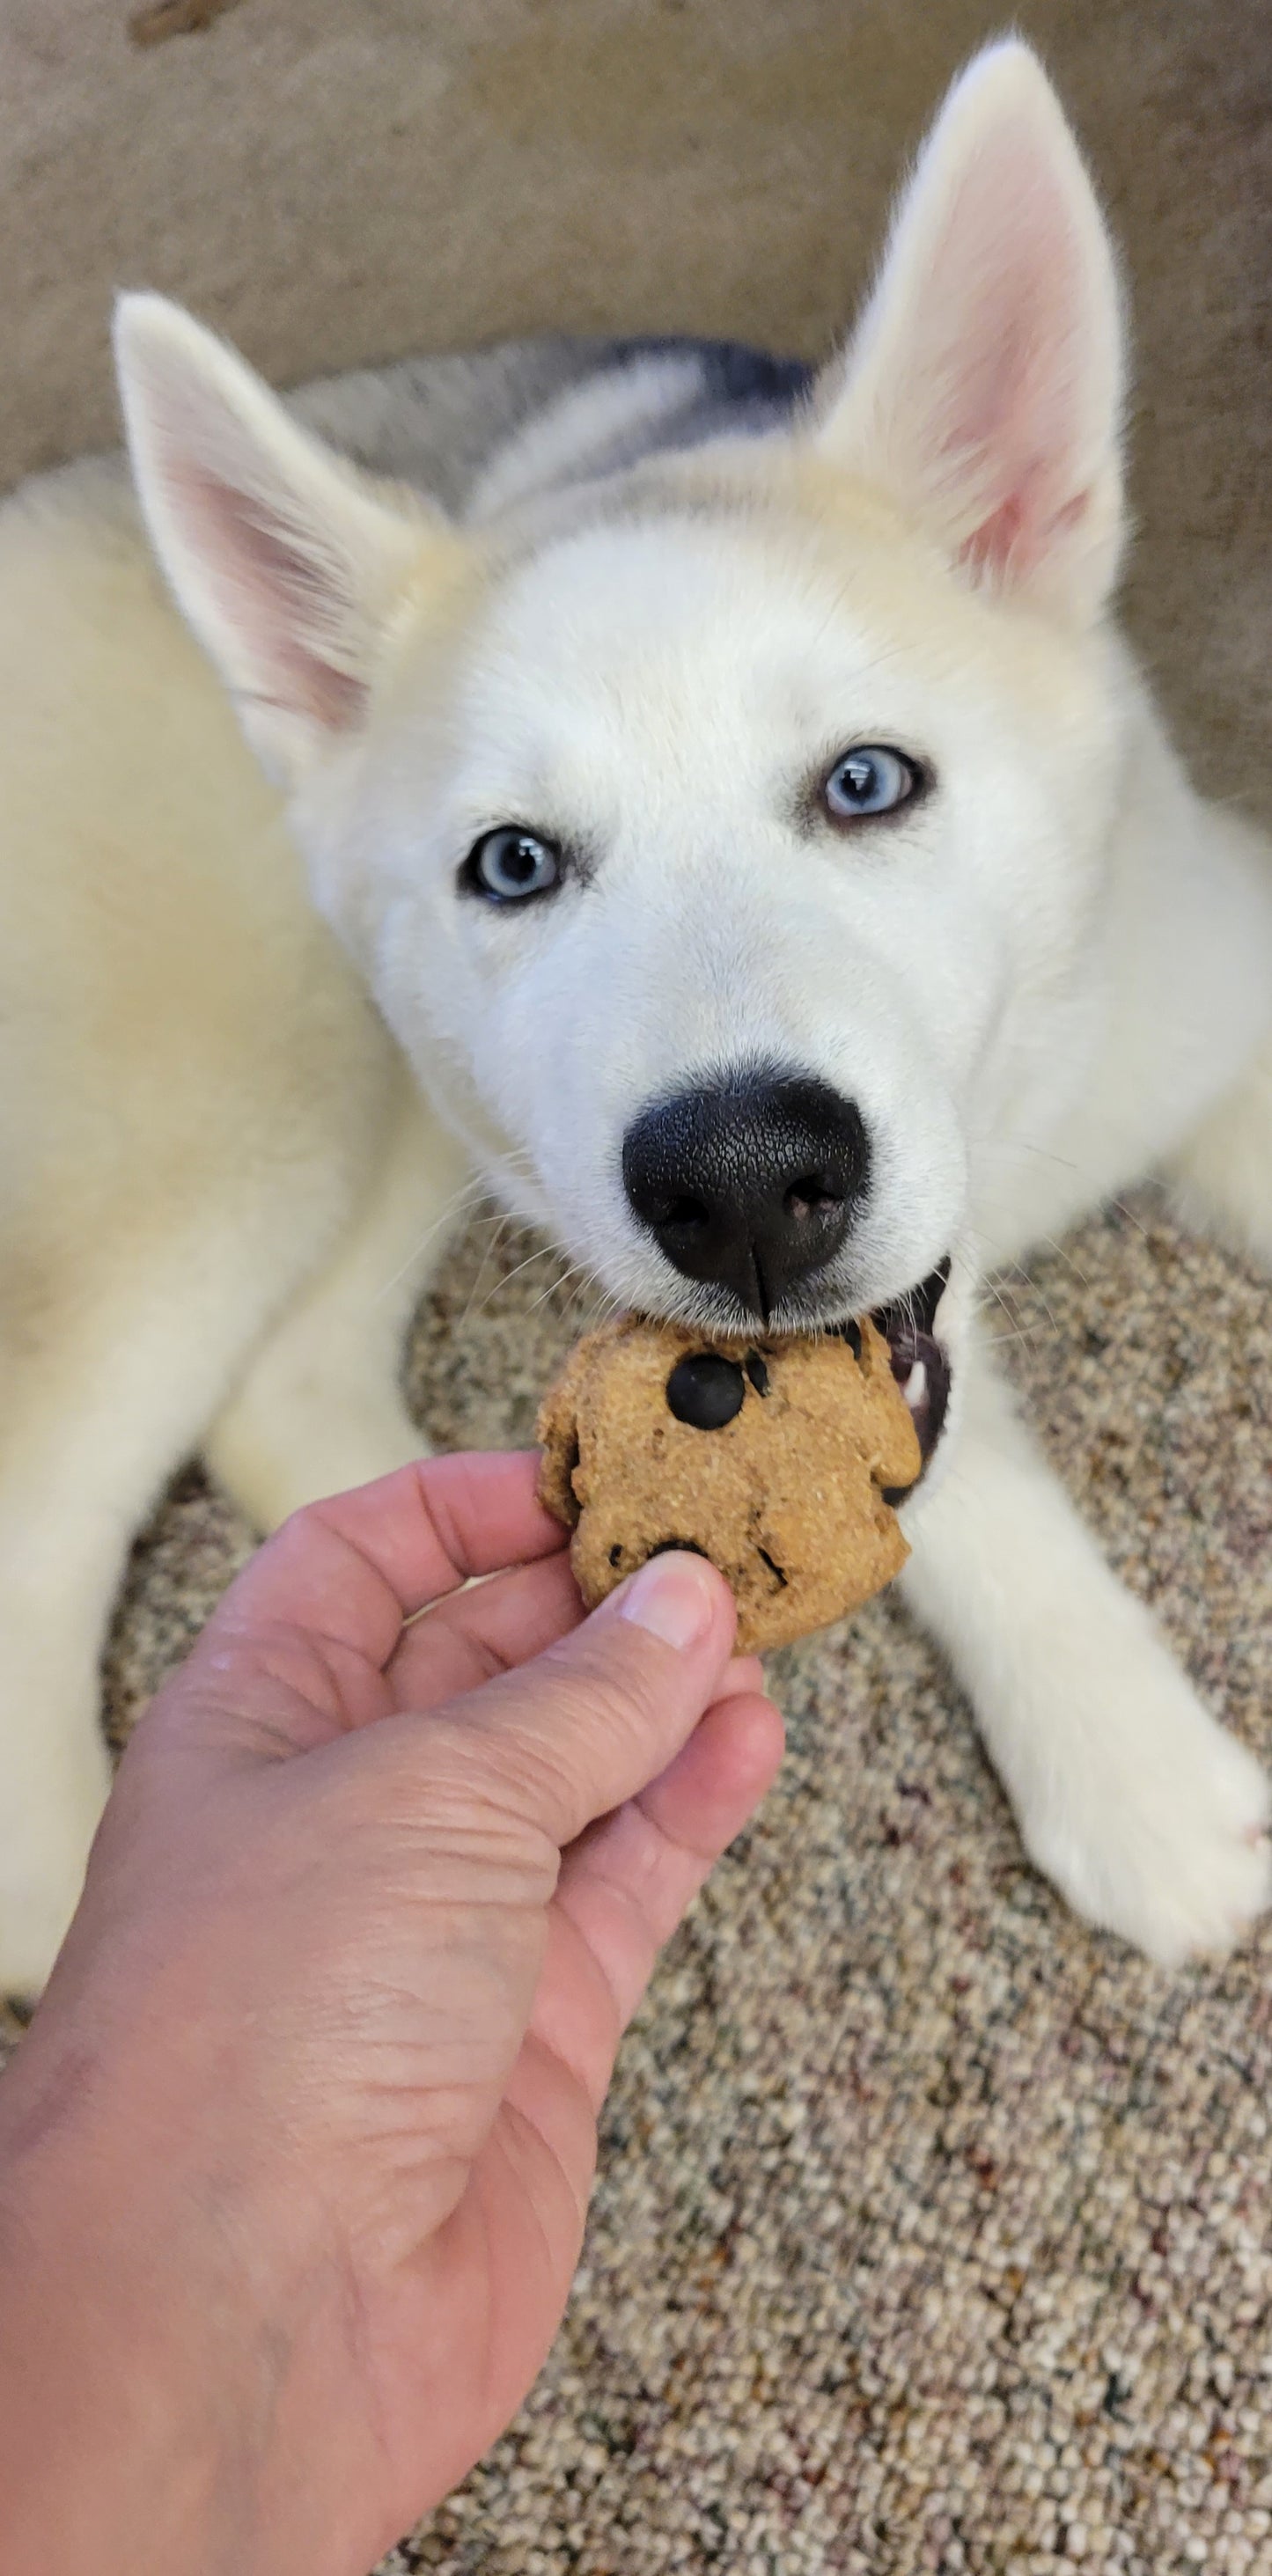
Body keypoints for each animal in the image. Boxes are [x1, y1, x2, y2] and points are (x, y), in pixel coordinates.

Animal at [2, 50, 1272, 1999]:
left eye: (866, 781)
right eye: (514, 861)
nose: (743, 1186)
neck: (1028, 1107)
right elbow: (959, 1464)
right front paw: (1131, 1766)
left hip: (408, 1103)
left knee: (279, 1384)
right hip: (233, 1119)